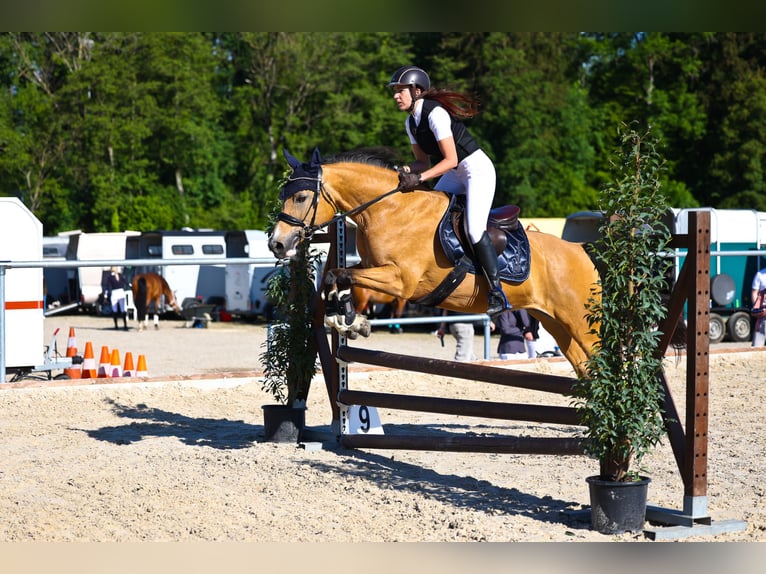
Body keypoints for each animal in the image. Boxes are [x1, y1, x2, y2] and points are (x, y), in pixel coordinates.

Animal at [268, 148, 601, 377]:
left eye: (300, 197)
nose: (277, 243)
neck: (386, 210)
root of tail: (582, 252)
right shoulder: (371, 267)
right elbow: (338, 276)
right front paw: (349, 321)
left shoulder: (400, 281)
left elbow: (340, 274)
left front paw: (348, 320)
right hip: (555, 322)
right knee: (584, 368)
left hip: (581, 323)